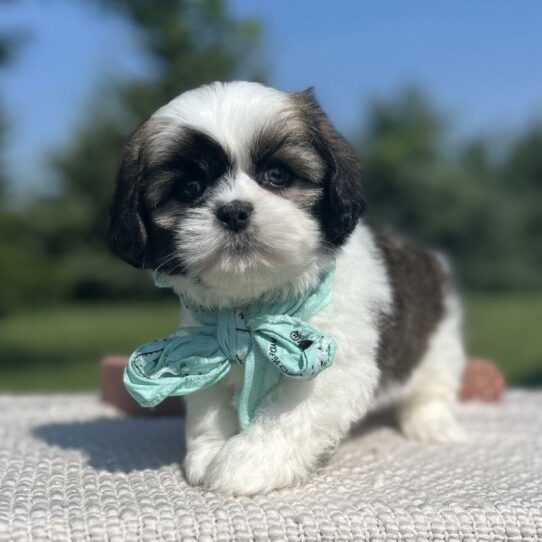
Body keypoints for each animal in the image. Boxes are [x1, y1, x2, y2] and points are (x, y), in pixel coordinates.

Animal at [110, 82, 468, 498]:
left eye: (277, 175)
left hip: (439, 341)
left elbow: (285, 418)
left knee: (433, 383)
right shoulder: (203, 346)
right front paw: (207, 452)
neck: (254, 310)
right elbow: (207, 406)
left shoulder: (330, 368)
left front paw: (243, 464)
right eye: (190, 188)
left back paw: (430, 420)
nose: (233, 211)